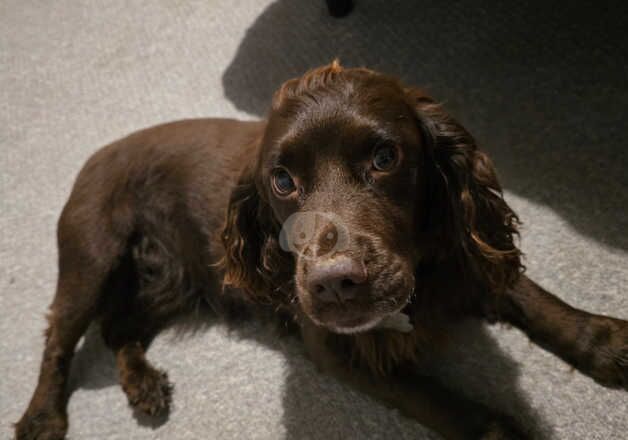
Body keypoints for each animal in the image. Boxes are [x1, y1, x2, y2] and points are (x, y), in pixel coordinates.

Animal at [14, 62, 628, 440]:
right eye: (282, 180)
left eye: (385, 157)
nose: (334, 282)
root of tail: (97, 152)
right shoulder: (337, 349)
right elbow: (441, 402)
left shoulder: (464, 254)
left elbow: (536, 301)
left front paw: (605, 342)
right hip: (92, 256)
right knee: (60, 337)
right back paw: (41, 416)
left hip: (172, 278)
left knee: (120, 329)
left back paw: (142, 385)